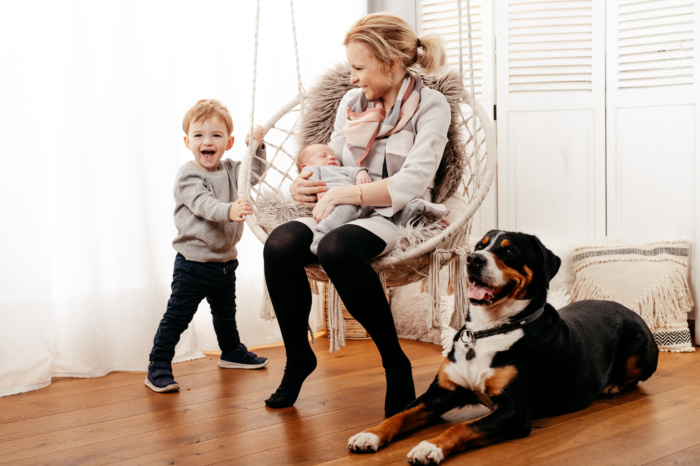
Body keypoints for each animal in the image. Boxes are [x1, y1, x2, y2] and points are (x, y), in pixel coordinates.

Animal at [348, 231, 660, 464]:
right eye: (479, 246)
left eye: (509, 252)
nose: (473, 260)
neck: (489, 330)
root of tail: (624, 307)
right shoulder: (441, 392)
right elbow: (401, 415)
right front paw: (371, 434)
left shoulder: (514, 411)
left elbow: (462, 426)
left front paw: (430, 447)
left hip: (638, 352)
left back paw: (612, 385)